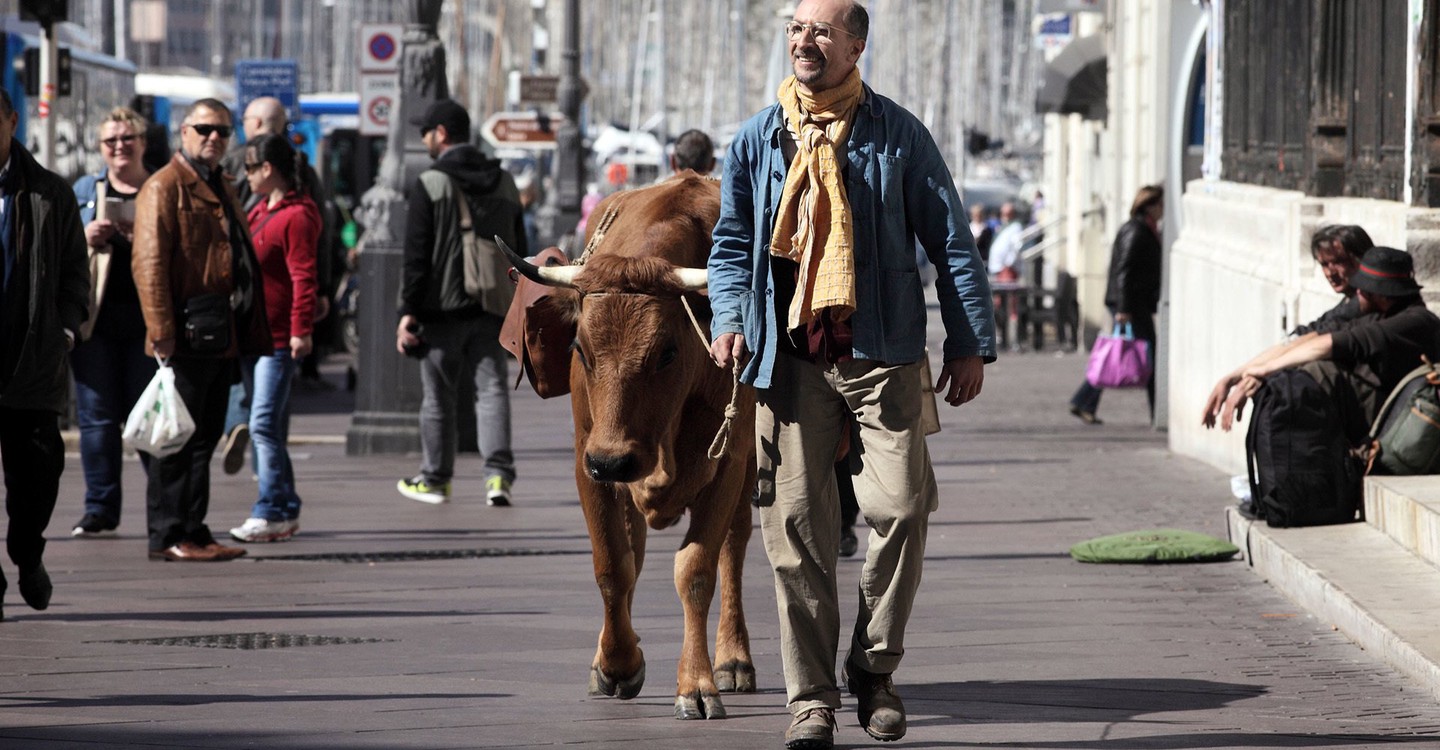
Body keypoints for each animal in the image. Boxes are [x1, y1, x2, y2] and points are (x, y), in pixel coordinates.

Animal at [504, 172, 760, 716]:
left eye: (666, 352)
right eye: (580, 347)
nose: (613, 457)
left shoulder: (729, 459)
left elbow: (697, 568)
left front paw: (697, 683)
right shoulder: (588, 460)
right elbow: (613, 566)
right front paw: (617, 663)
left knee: (735, 545)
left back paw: (733, 659)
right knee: (634, 551)